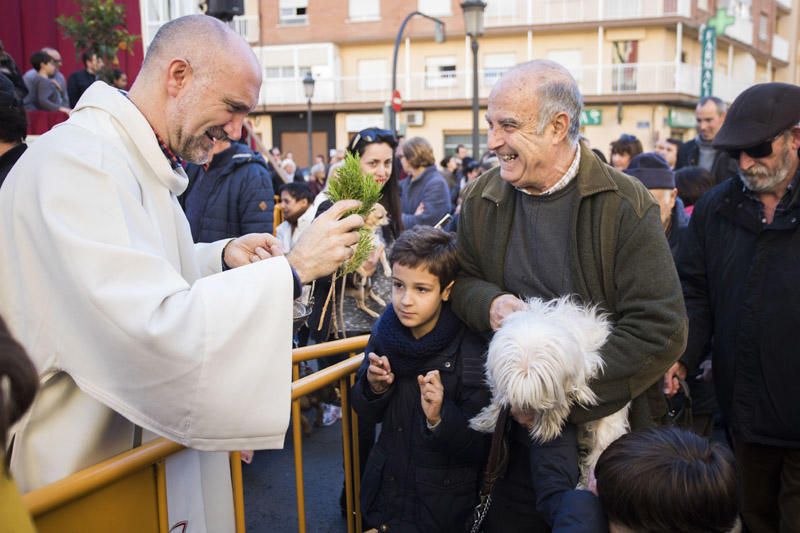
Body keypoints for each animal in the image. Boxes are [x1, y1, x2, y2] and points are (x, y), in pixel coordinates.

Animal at [468, 298, 632, 484]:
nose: (524, 407)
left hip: (607, 432)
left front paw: (548, 423)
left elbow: (560, 402)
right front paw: (488, 420)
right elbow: (499, 399)